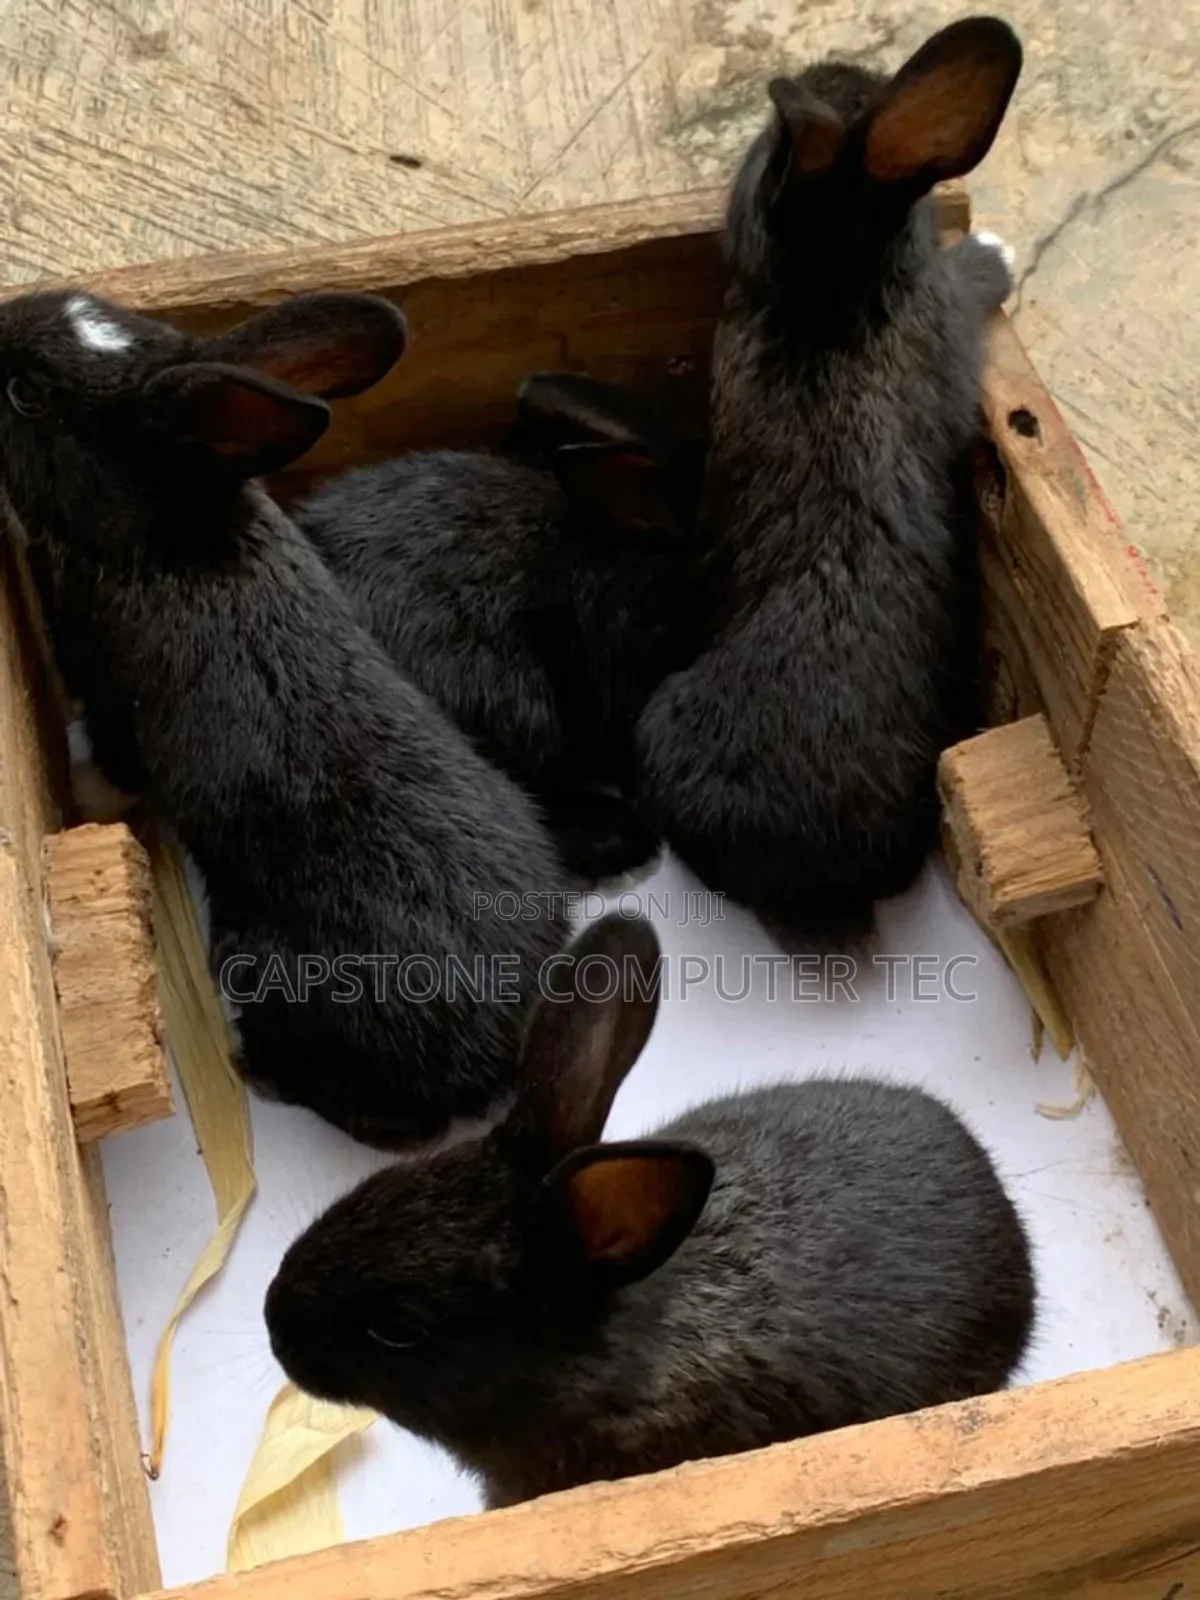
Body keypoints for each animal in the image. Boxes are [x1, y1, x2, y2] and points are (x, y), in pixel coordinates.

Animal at [0, 287, 570, 1148]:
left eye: (27, 395)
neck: (165, 527)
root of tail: (493, 1052)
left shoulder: (109, 695)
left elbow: (117, 758)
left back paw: (255, 1066)